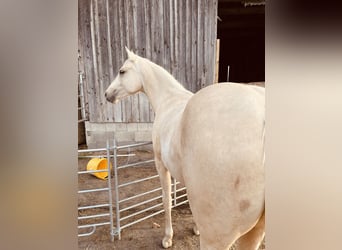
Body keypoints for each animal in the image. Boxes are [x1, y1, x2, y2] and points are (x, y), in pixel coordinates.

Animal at [104, 47, 264, 249]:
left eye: (122, 71)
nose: (107, 94)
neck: (168, 99)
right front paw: (195, 228)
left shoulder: (160, 164)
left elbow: (166, 200)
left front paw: (167, 237)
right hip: (255, 232)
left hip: (217, 237)